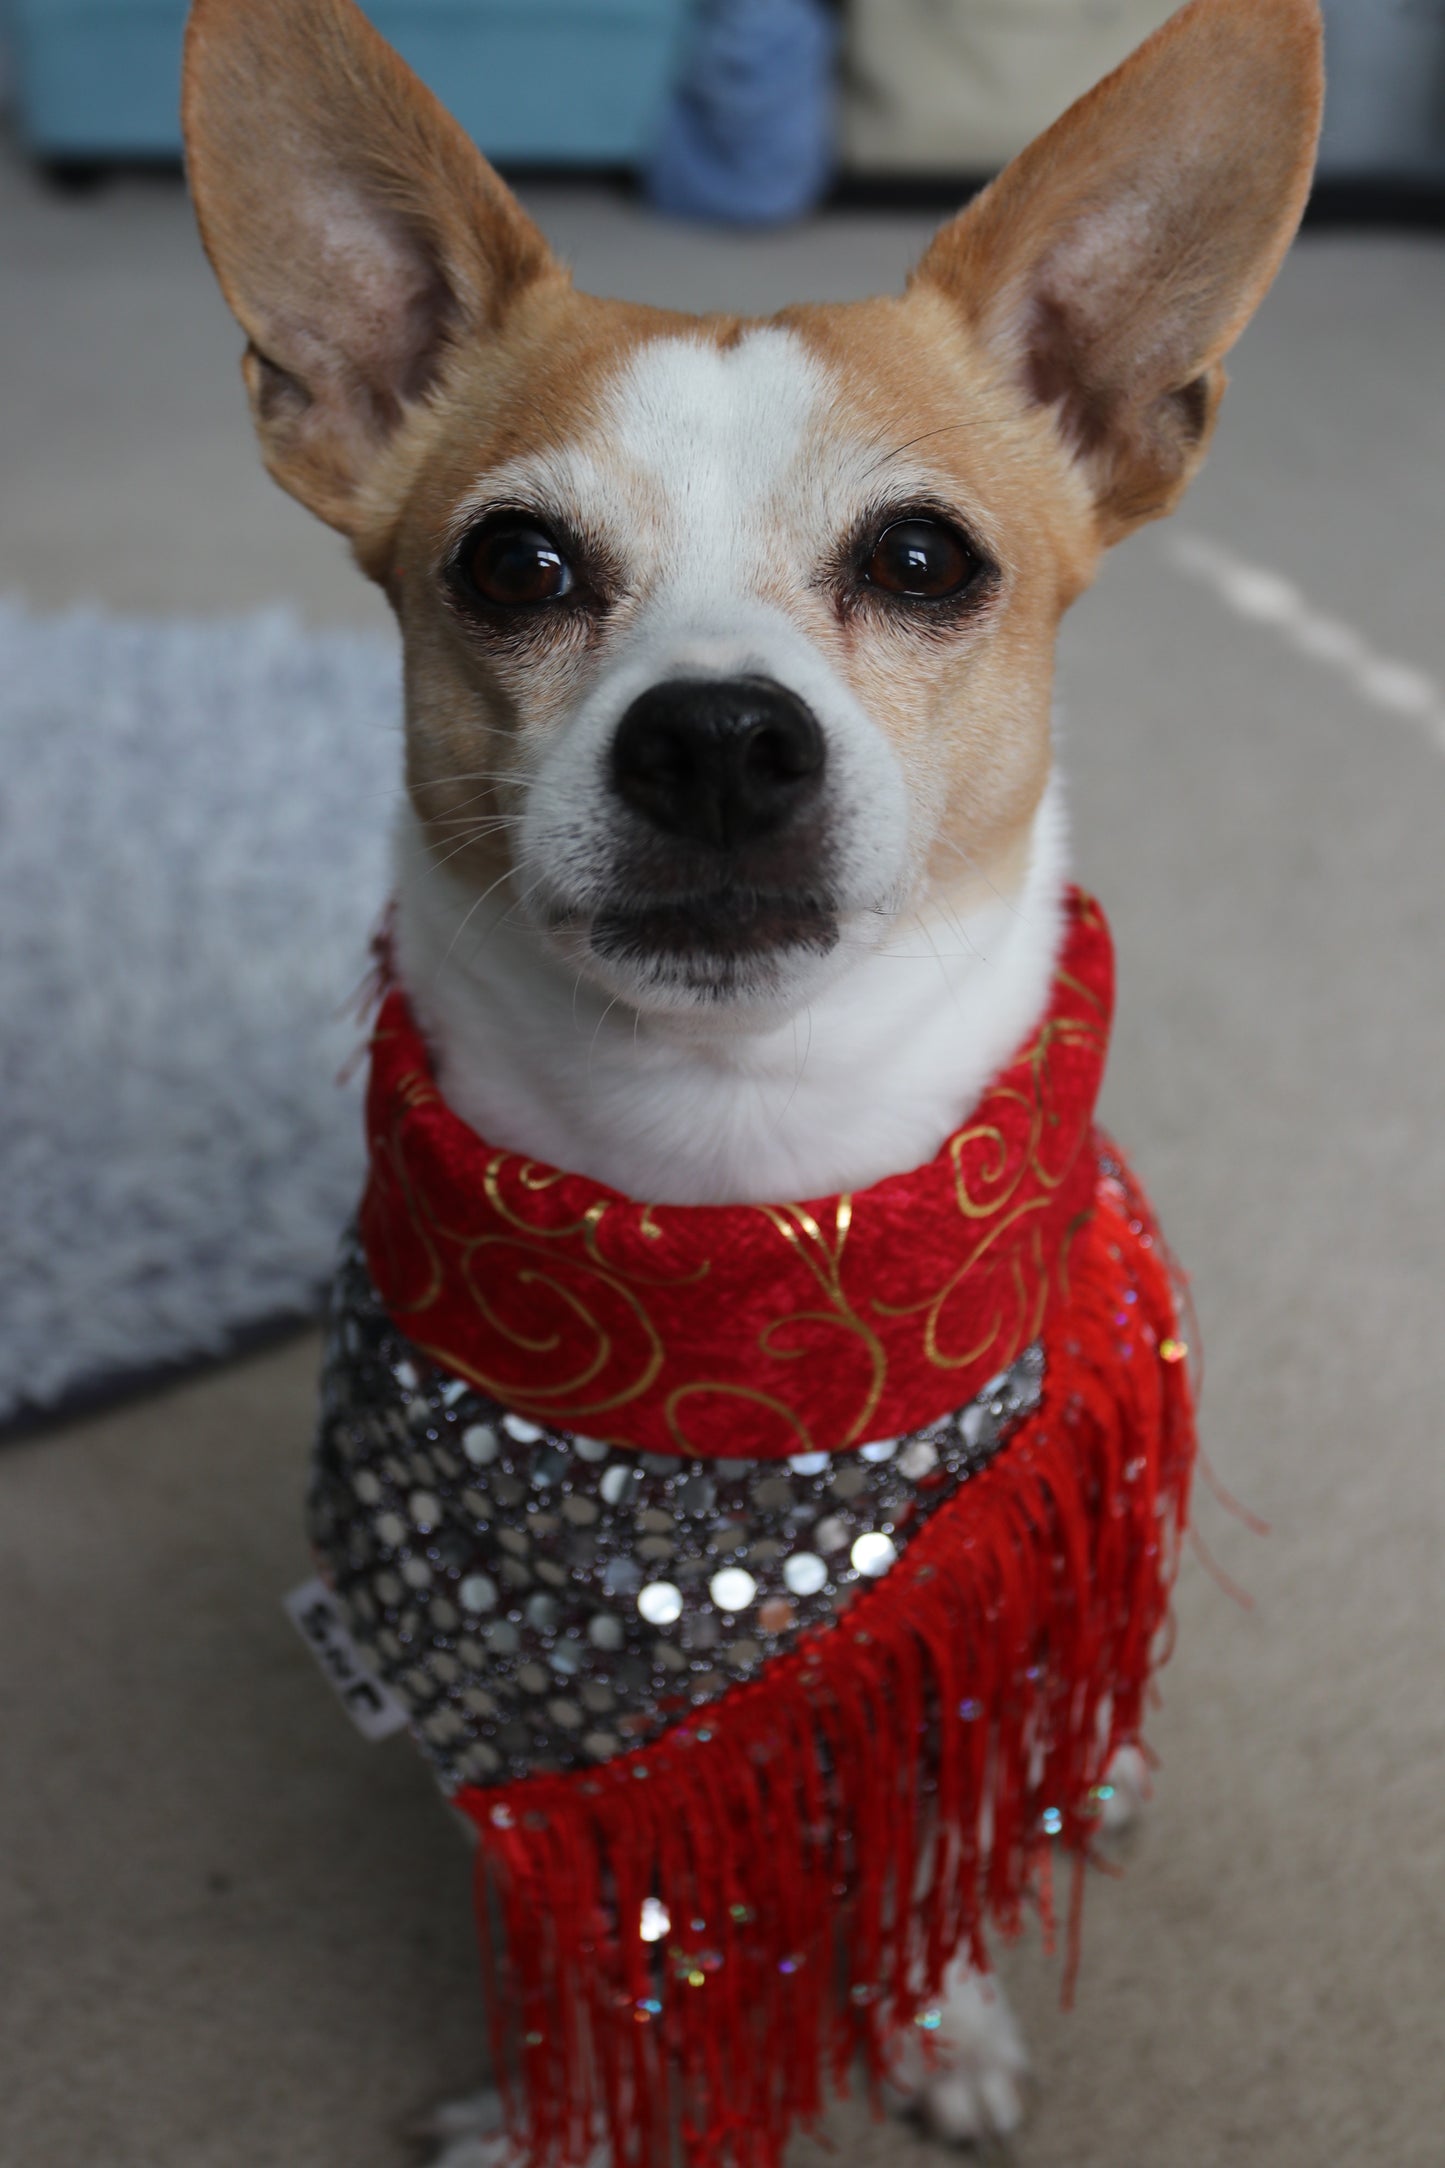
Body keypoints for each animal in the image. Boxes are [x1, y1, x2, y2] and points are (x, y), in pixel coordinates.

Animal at [177, 0, 1325, 2150]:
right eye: (517, 565)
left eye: (924, 557)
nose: (715, 736)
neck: (736, 1223)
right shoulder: (533, 1756)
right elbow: (593, 1944)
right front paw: (547, 2107)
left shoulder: (942, 1647)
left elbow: (934, 1851)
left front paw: (936, 2021)